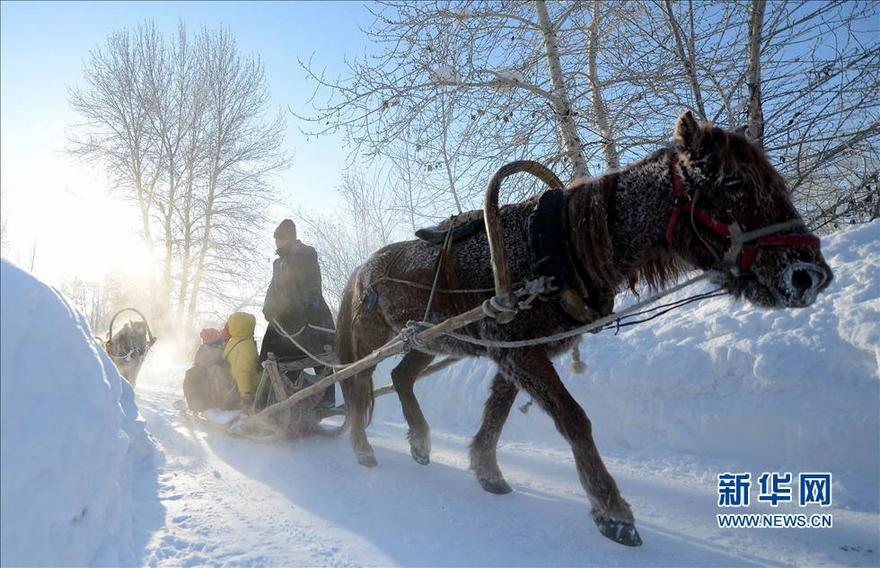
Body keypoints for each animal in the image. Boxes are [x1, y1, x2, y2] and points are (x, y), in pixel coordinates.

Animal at [332, 111, 832, 544]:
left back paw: (419, 441)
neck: (558, 247)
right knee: (355, 385)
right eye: (733, 183)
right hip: (370, 342)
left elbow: (498, 410)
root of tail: (360, 271)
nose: (809, 274)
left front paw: (487, 469)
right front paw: (612, 510)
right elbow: (574, 419)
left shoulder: (517, 352)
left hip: (432, 339)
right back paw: (361, 447)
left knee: (401, 377)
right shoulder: (519, 352)